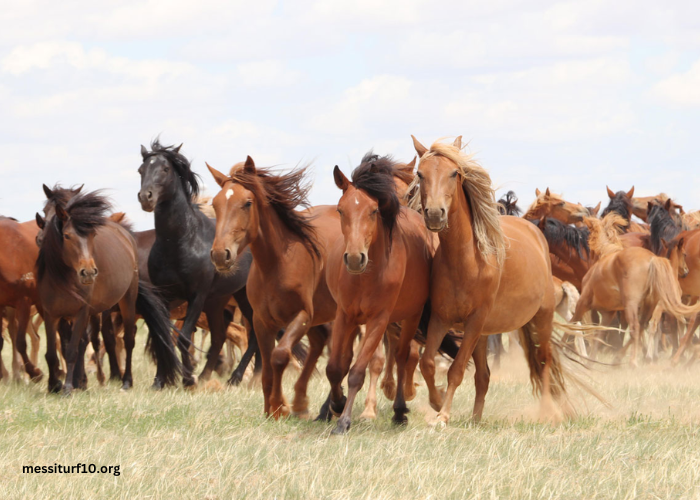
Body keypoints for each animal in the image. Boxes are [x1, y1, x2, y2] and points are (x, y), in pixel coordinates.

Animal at [35, 189, 180, 392]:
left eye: (93, 236)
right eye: (67, 236)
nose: (88, 272)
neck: (62, 280)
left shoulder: (82, 313)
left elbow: (72, 350)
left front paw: (69, 387)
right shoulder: (51, 315)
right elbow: (51, 353)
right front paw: (54, 385)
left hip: (127, 301)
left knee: (128, 339)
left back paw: (126, 381)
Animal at [208, 156, 340, 418]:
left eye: (247, 203)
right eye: (216, 204)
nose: (220, 254)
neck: (278, 264)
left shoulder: (301, 316)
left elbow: (279, 356)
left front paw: (279, 407)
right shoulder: (261, 320)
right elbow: (267, 367)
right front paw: (271, 408)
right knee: (319, 343)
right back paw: (302, 403)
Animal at [326, 153, 434, 434]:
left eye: (373, 211)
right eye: (340, 210)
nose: (355, 258)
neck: (367, 276)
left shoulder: (379, 319)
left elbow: (357, 372)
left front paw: (344, 421)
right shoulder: (344, 315)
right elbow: (335, 367)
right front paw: (337, 404)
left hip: (410, 318)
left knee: (402, 357)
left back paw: (399, 411)